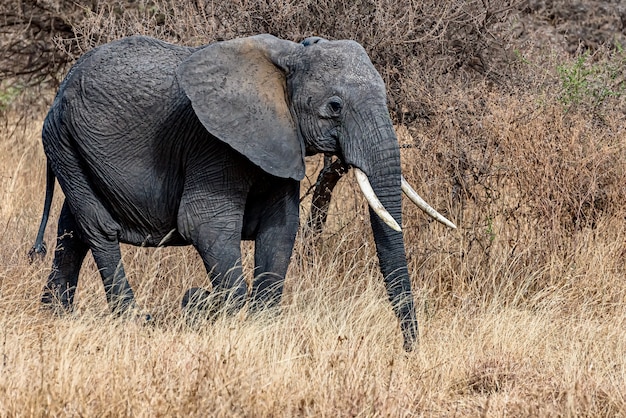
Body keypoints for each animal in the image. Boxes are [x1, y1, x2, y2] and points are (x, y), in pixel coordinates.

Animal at [30, 33, 454, 352]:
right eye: (334, 106)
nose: (409, 350)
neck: (288, 57)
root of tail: (62, 86)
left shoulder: (279, 137)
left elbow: (281, 228)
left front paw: (259, 326)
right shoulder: (212, 142)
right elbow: (206, 225)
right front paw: (226, 316)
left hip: (70, 145)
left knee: (73, 228)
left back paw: (55, 314)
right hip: (61, 139)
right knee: (98, 227)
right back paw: (134, 319)